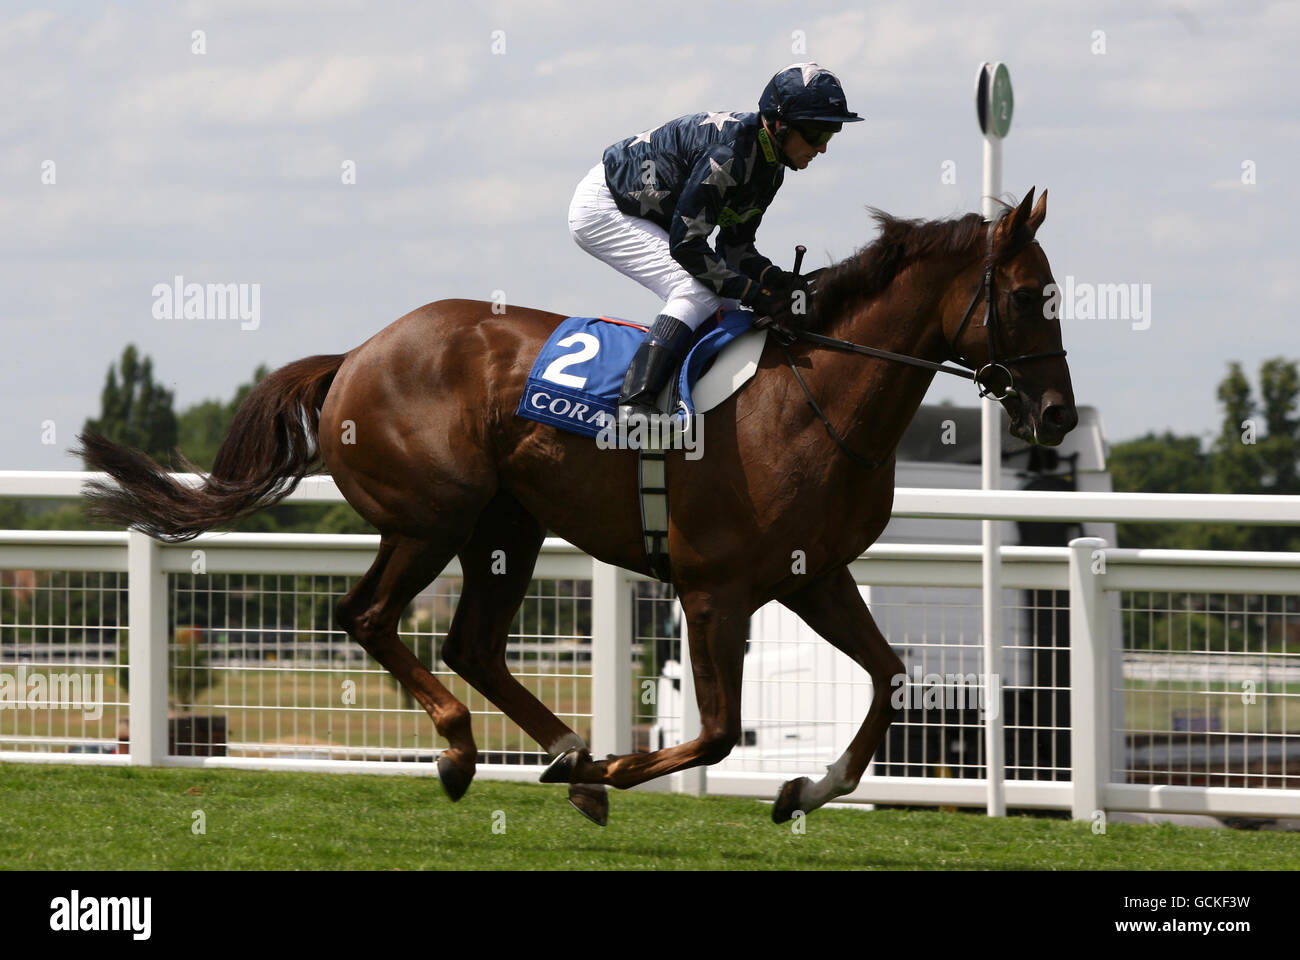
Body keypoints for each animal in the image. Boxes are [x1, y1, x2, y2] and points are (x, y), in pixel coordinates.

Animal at [78, 187, 1076, 822]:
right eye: (1034, 297)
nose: (1057, 415)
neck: (811, 400)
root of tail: (357, 353)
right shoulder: (715, 589)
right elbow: (717, 733)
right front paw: (624, 763)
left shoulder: (814, 576)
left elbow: (889, 677)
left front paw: (806, 788)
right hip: (432, 518)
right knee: (365, 616)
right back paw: (469, 750)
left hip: (506, 526)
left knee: (471, 644)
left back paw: (564, 755)